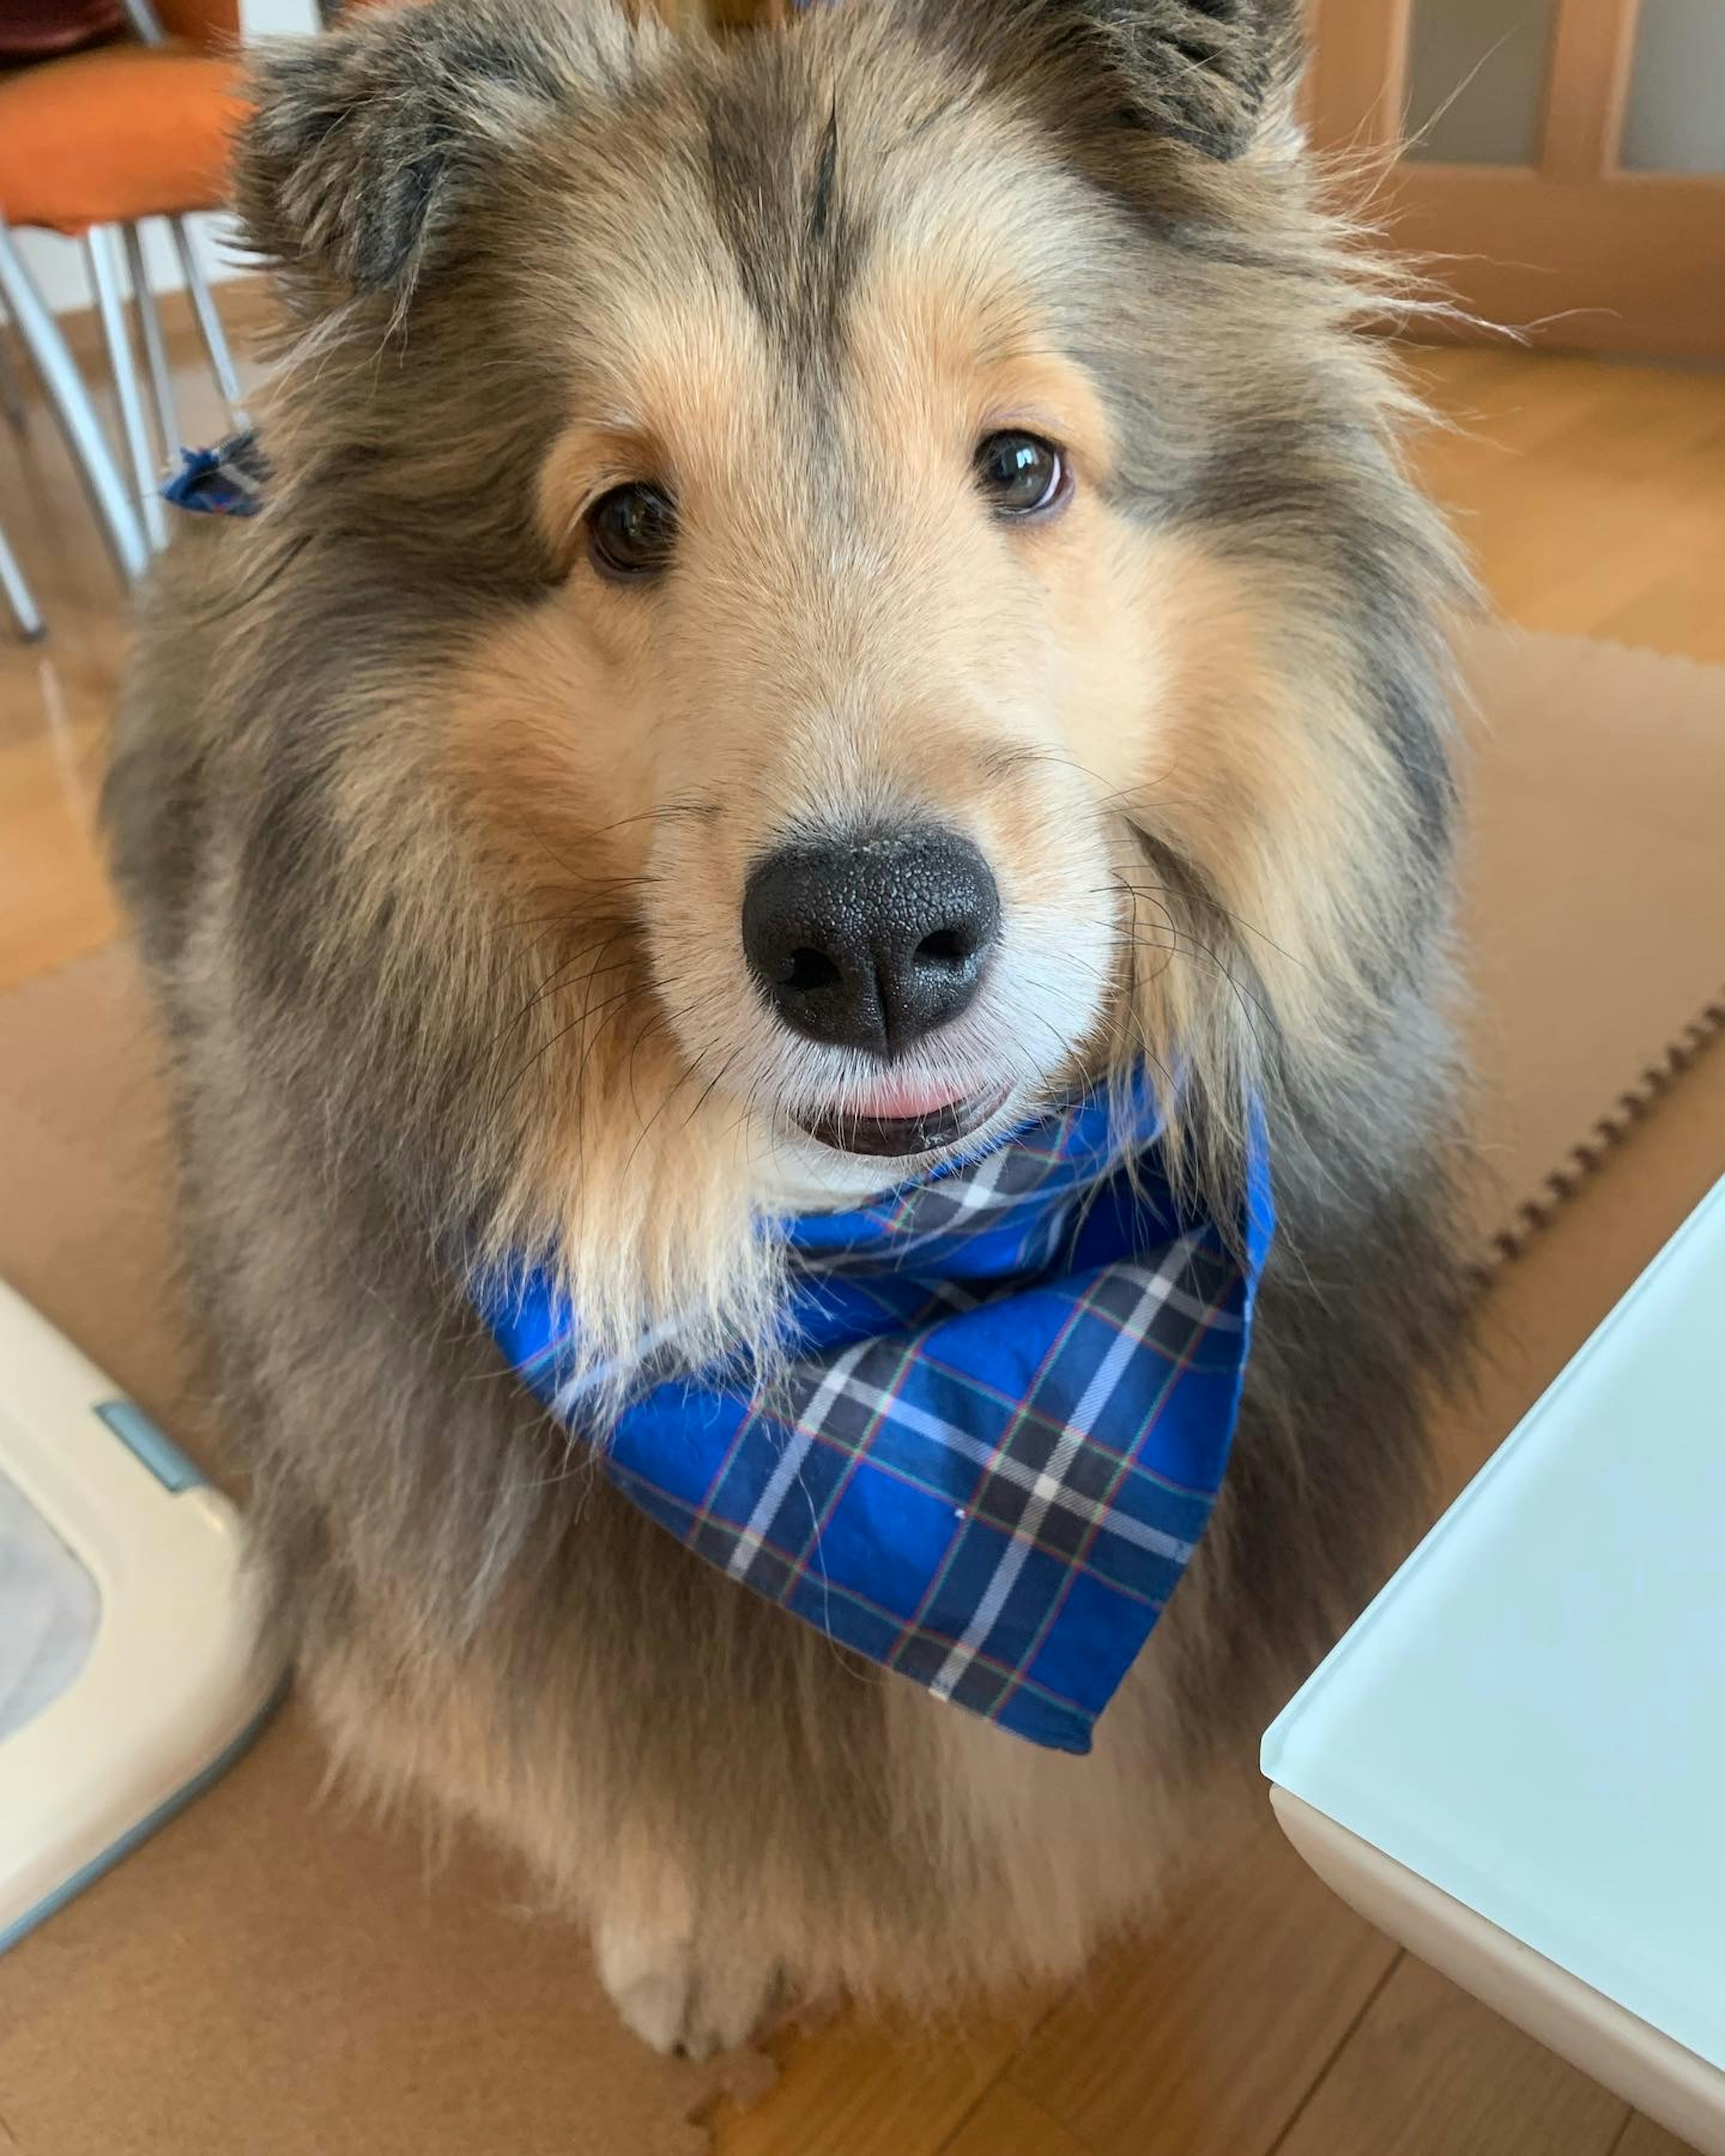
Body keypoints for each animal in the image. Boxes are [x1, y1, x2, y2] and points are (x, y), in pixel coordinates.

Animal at [104, 0, 1466, 2061]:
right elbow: (629, 1805)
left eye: (1022, 464)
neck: (903, 1327)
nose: (874, 938)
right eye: (627, 520)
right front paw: (684, 1948)